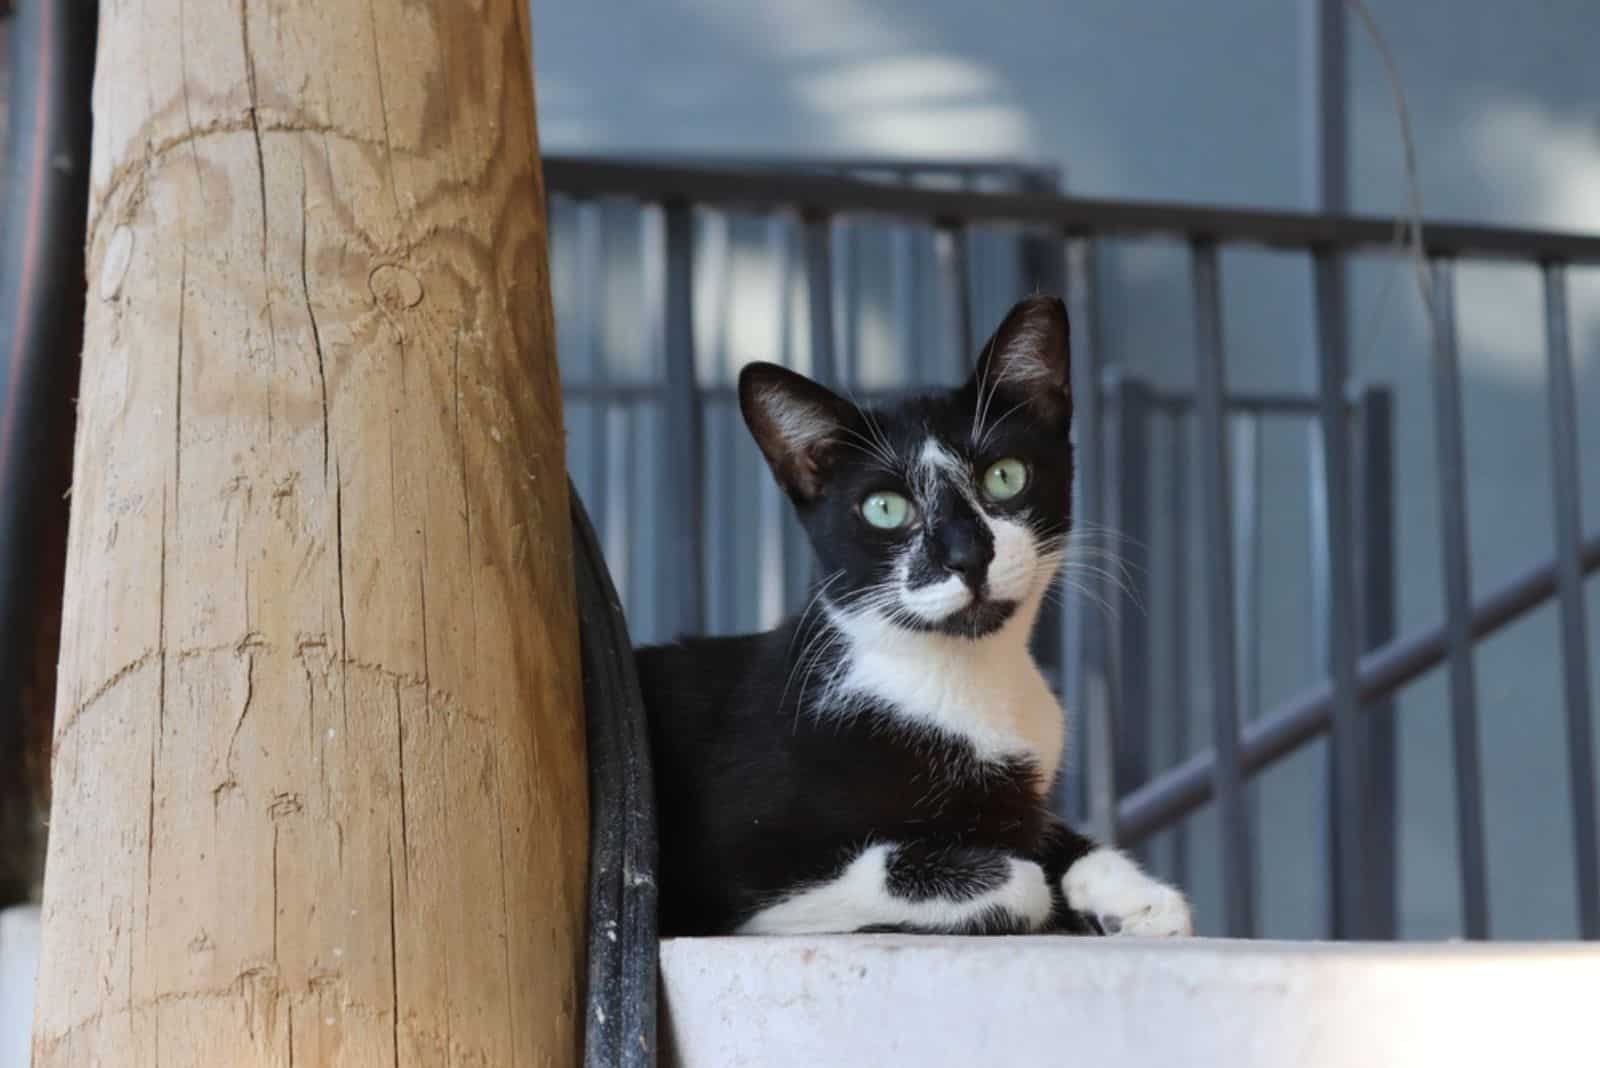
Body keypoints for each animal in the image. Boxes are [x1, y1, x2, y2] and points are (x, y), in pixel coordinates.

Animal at [633, 295, 1190, 940]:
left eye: (1005, 475)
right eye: (884, 508)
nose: (966, 555)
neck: (956, 676)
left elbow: (1040, 829)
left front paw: (1136, 898)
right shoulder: (738, 866)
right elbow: (1017, 877)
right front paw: (1044, 892)